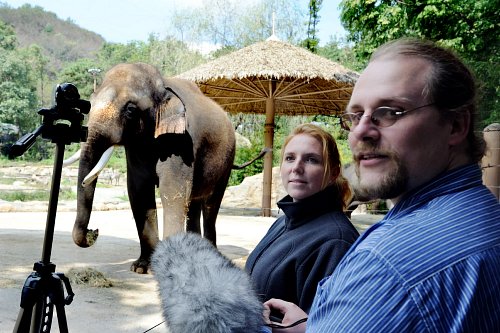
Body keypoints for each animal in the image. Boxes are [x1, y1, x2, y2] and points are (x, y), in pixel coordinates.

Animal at [72, 62, 246, 272]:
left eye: (130, 110)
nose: (94, 231)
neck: (162, 86)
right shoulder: (137, 147)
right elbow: (139, 192)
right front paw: (141, 267)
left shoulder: (181, 142)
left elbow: (172, 192)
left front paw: (170, 267)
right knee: (193, 202)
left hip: (227, 160)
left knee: (211, 204)